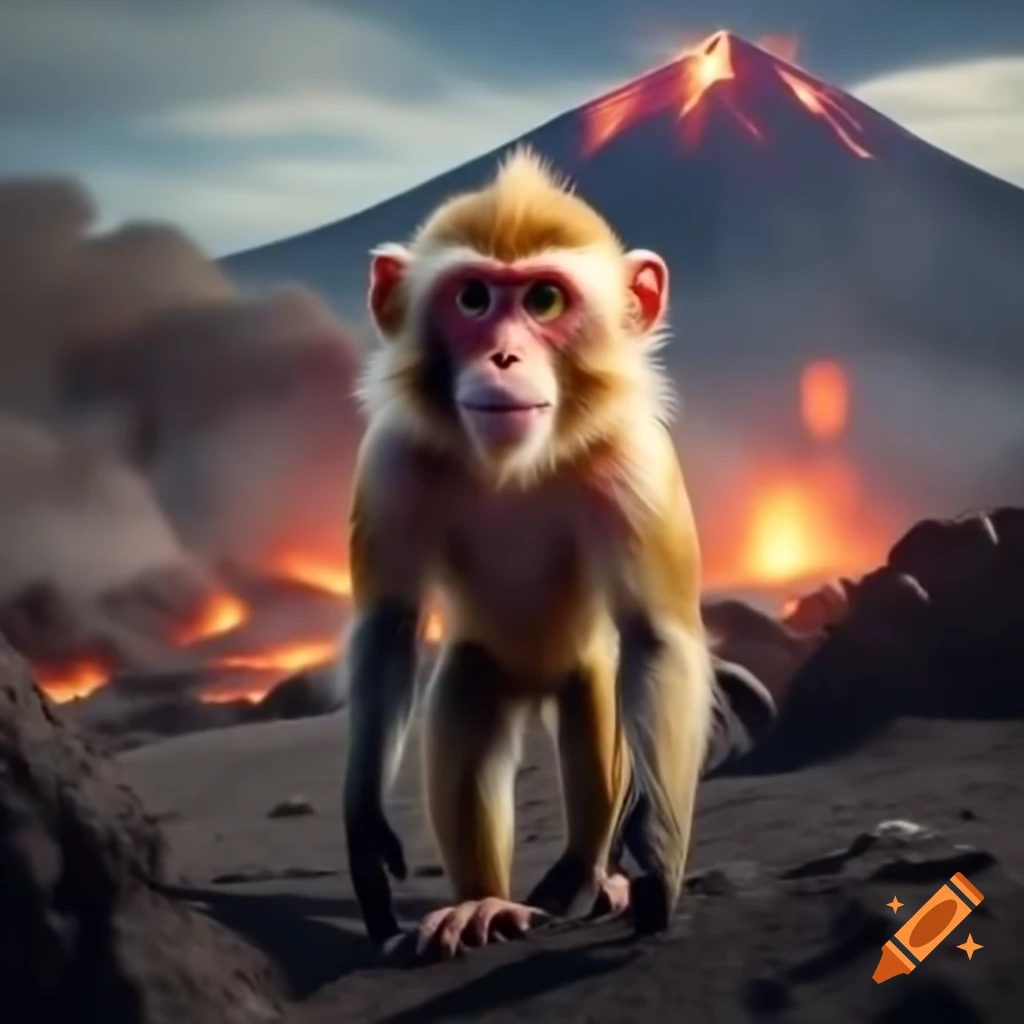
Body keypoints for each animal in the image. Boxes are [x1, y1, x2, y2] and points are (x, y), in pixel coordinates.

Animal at [341, 146, 715, 958]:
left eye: (544, 301)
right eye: (474, 298)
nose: (504, 357)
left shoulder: (636, 461)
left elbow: (655, 638)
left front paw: (657, 861)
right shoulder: (392, 457)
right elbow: (389, 624)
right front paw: (364, 835)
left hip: (579, 668)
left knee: (597, 713)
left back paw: (587, 876)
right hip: (485, 665)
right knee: (464, 717)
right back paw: (483, 906)